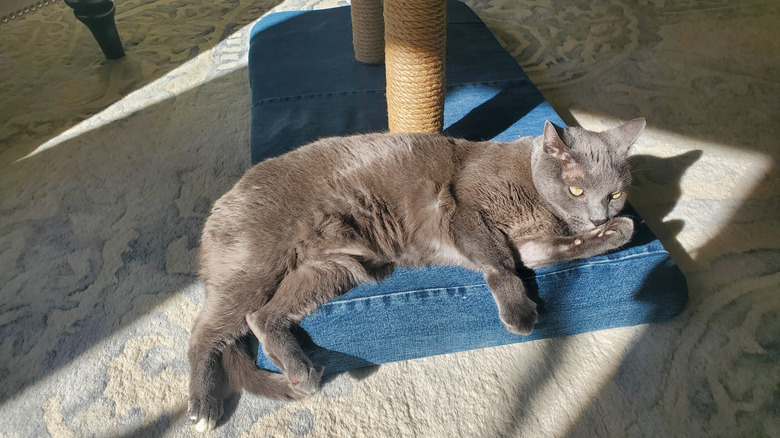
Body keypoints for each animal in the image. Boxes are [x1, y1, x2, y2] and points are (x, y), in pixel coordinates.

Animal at [187, 119, 644, 432]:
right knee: (204, 333)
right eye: (576, 190)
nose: (599, 215)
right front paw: (518, 314)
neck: (537, 200)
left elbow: (552, 252)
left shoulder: (530, 246)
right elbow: (499, 264)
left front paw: (617, 231)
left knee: (260, 319)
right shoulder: (467, 214)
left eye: (615, 194)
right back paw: (204, 407)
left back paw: (300, 373)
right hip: (255, 267)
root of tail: (221, 201)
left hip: (330, 269)